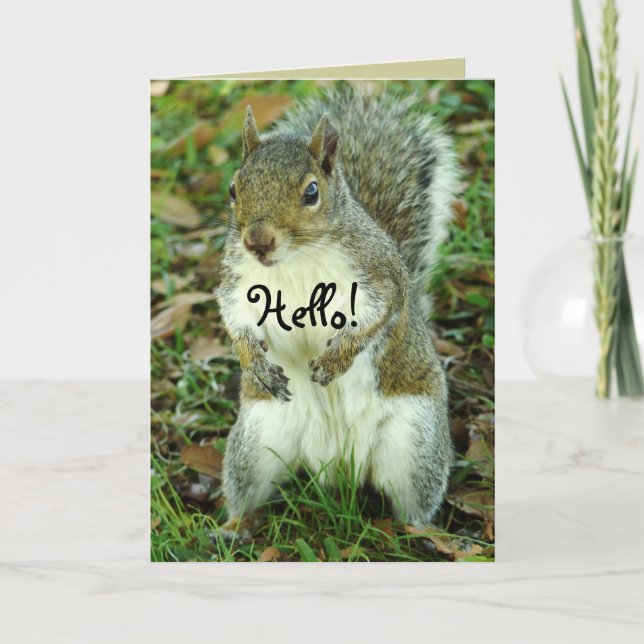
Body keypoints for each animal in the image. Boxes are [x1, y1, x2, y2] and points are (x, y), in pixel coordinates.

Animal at [215, 90, 458, 539]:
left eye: (311, 192)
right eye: (233, 188)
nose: (257, 241)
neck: (295, 259)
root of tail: (338, 464)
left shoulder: (378, 277)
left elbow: (377, 316)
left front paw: (334, 362)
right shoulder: (237, 284)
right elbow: (235, 320)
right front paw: (254, 364)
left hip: (414, 443)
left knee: (412, 504)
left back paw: (425, 533)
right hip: (257, 442)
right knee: (248, 489)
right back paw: (232, 525)